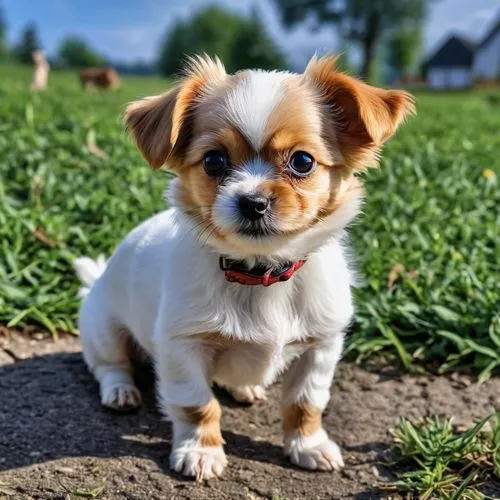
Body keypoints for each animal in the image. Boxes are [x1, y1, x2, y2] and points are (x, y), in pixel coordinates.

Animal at [74, 54, 414, 480]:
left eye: (302, 162)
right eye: (214, 160)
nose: (253, 202)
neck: (260, 274)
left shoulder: (322, 344)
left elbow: (306, 401)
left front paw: (308, 446)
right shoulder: (183, 345)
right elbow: (197, 404)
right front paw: (200, 450)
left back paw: (246, 387)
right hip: (103, 329)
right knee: (109, 365)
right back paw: (121, 391)